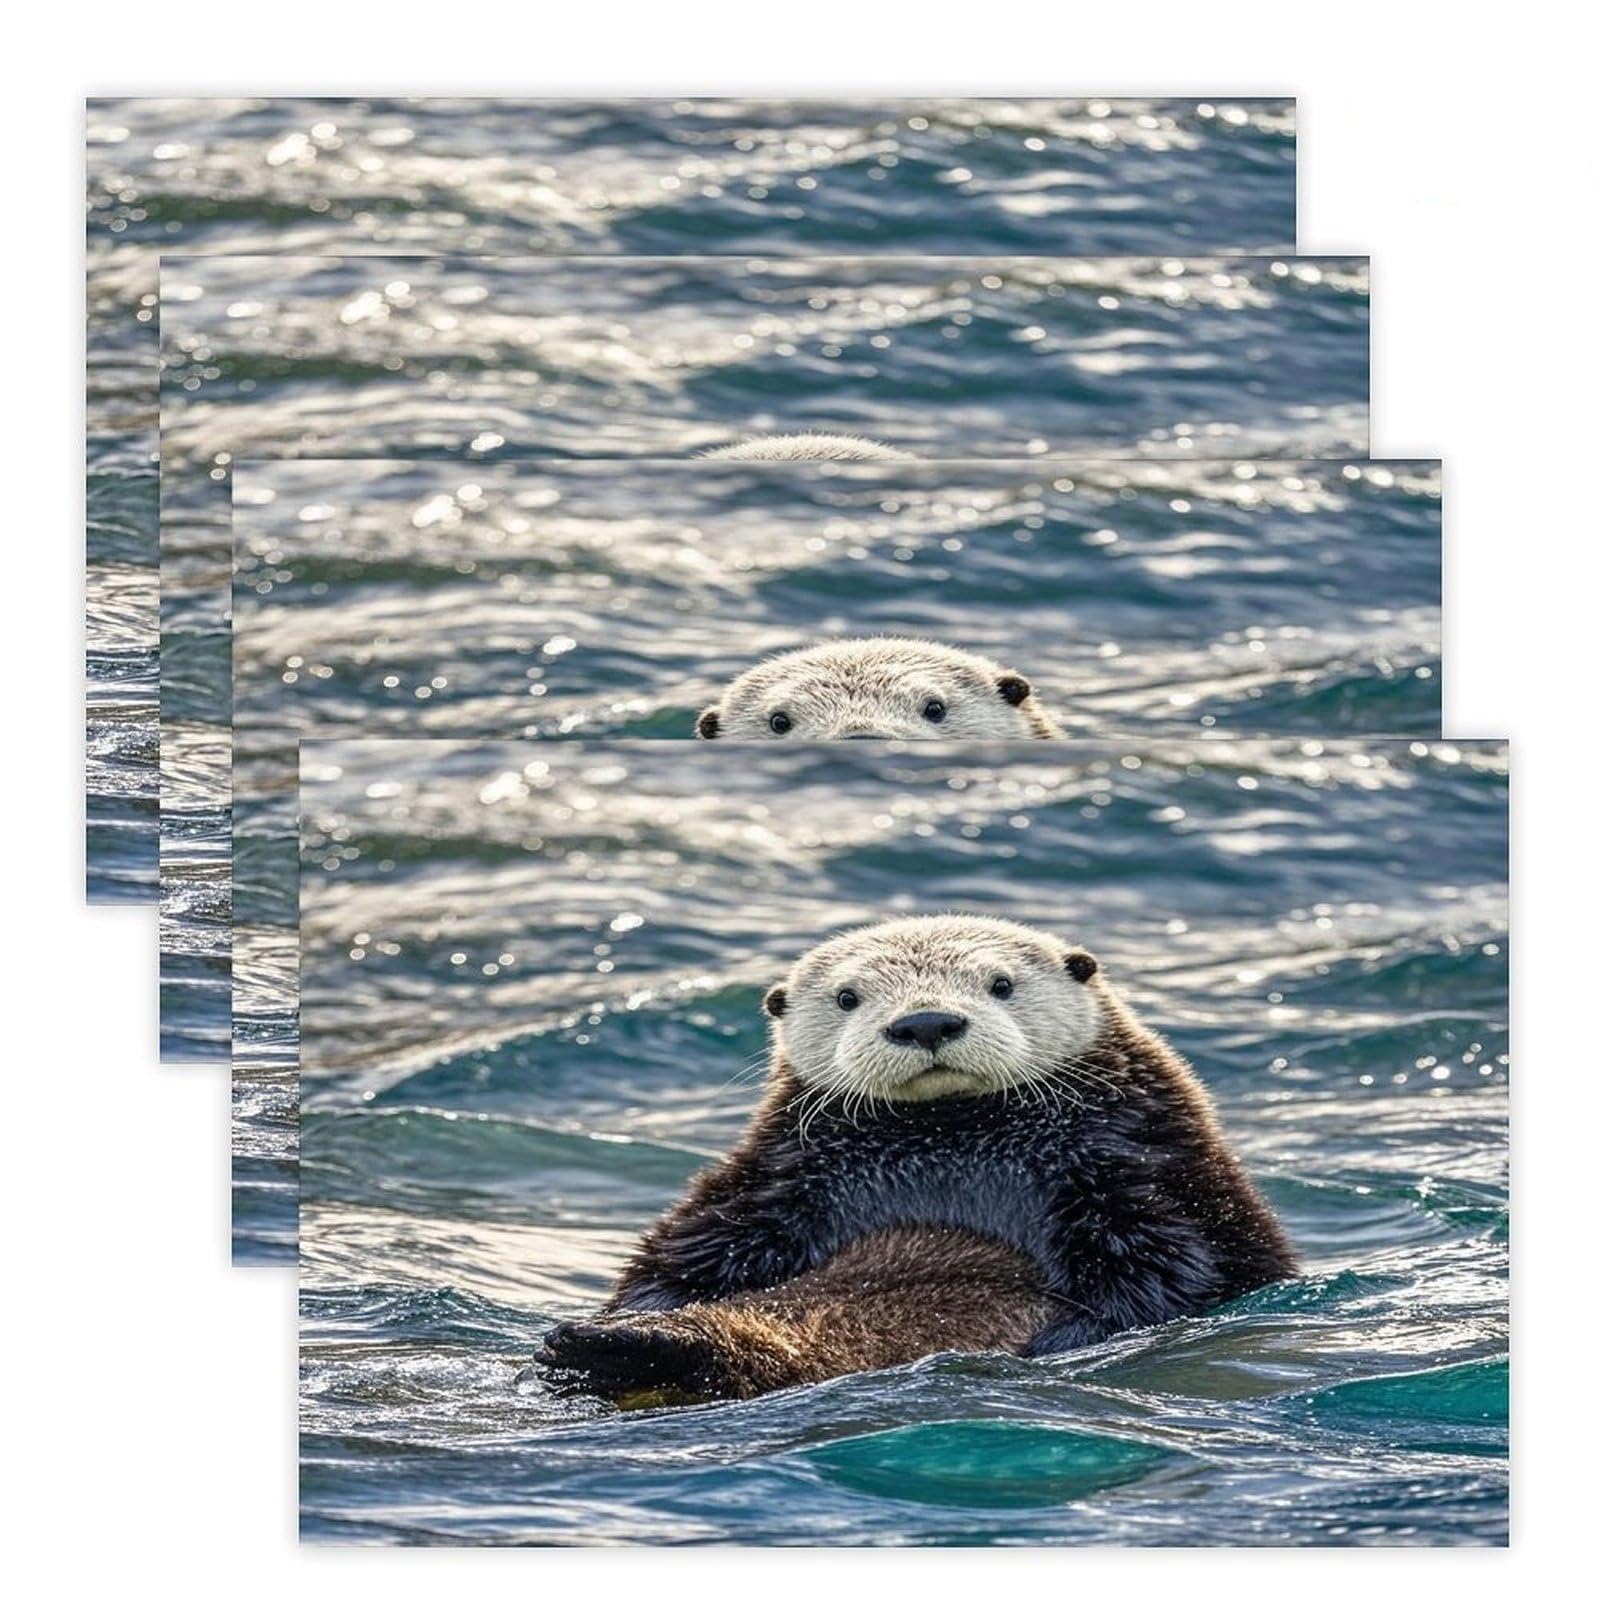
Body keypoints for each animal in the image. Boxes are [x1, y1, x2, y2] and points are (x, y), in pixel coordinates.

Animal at [536, 916, 1296, 1404]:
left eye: (1000, 984)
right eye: (847, 996)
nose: (926, 1021)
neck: (952, 1142)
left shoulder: (1137, 1167)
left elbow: (1170, 1267)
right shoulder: (772, 1180)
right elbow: (683, 1255)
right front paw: (617, 1319)